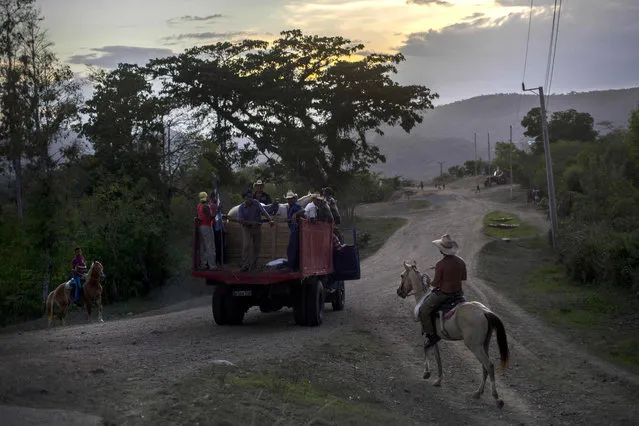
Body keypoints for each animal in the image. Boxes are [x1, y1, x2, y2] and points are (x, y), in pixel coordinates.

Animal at [396, 262, 510, 408]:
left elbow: (427, 349)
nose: (399, 291)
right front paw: (438, 380)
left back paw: (496, 398)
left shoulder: (430, 335)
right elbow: (437, 357)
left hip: (474, 346)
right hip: (484, 345)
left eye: (402, 275)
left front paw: (427, 373)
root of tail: (485, 312)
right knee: (484, 366)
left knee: (489, 365)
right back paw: (478, 392)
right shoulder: (436, 338)